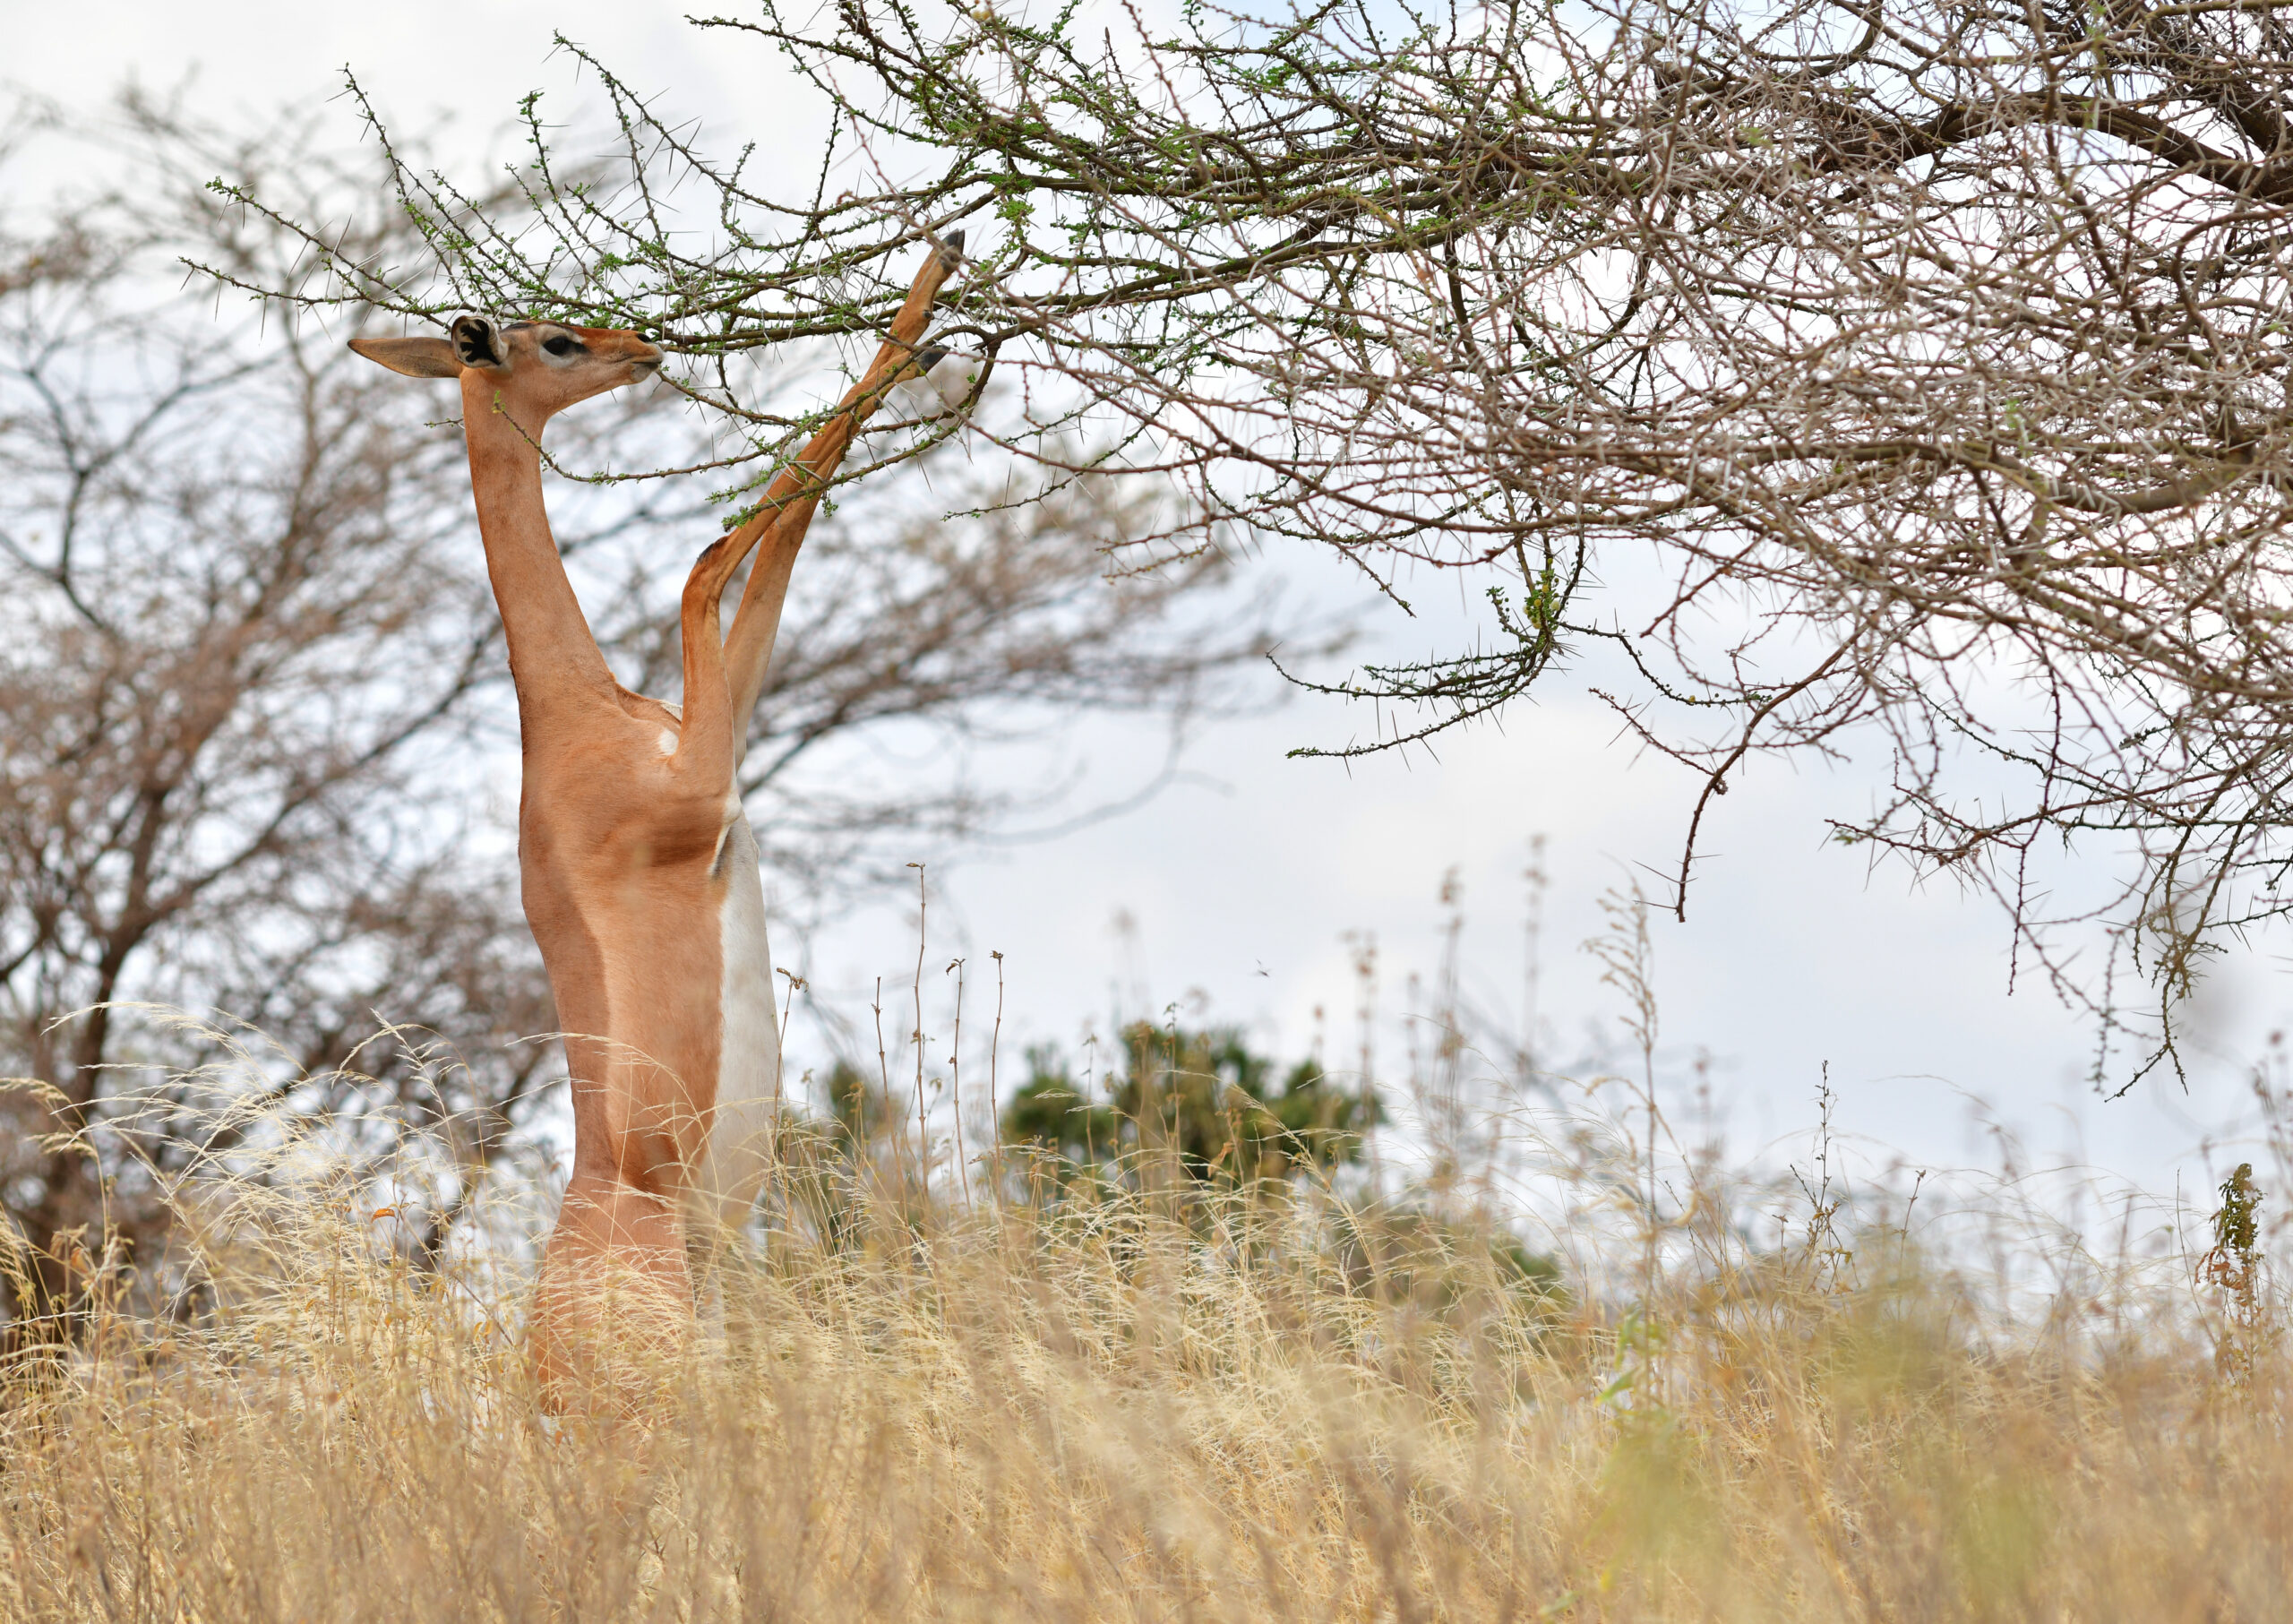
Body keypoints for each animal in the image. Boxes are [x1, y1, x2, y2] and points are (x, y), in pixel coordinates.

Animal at [348, 235, 958, 1404]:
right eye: (554, 340)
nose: (642, 346)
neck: (576, 719)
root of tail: (541, 1360)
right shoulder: (701, 786)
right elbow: (710, 557)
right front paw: (937, 287)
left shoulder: (729, 734)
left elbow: (764, 560)